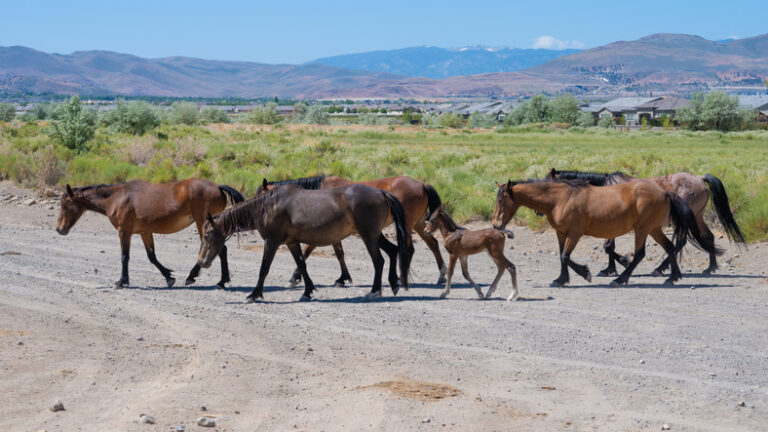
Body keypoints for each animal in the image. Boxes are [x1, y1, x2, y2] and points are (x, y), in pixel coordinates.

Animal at [56, 179, 244, 289]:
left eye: (65, 205)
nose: (59, 229)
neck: (117, 198)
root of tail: (218, 187)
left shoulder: (124, 232)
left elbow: (125, 256)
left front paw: (122, 281)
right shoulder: (144, 232)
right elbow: (152, 257)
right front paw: (169, 277)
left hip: (203, 224)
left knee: (220, 249)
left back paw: (202, 278)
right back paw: (218, 280)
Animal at [197, 183, 410, 302]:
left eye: (206, 235)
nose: (201, 261)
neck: (268, 206)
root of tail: (382, 193)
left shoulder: (272, 241)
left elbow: (264, 268)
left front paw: (254, 295)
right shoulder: (291, 243)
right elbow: (302, 265)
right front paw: (307, 291)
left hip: (369, 236)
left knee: (379, 261)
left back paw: (375, 291)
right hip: (374, 235)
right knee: (393, 251)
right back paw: (394, 284)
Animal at [256, 175, 446, 286]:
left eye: (261, 197)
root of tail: (422, 184)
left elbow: (308, 250)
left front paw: (295, 277)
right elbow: (339, 253)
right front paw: (343, 277)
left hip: (407, 225)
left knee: (410, 249)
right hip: (417, 224)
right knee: (432, 243)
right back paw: (440, 275)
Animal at [491, 179, 722, 287]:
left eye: (502, 200)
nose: (495, 225)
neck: (559, 199)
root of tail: (664, 192)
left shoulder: (574, 234)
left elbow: (566, 256)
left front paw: (585, 274)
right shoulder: (561, 233)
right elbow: (562, 257)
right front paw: (560, 280)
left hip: (643, 229)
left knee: (640, 254)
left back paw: (620, 279)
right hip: (654, 229)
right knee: (671, 248)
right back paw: (672, 277)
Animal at [545, 169, 745, 276]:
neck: (603, 189)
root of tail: (699, 178)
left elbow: (609, 247)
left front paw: (623, 263)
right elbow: (609, 247)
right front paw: (611, 268)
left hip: (690, 218)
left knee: (680, 242)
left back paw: (660, 268)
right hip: (698, 217)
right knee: (708, 237)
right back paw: (711, 267)